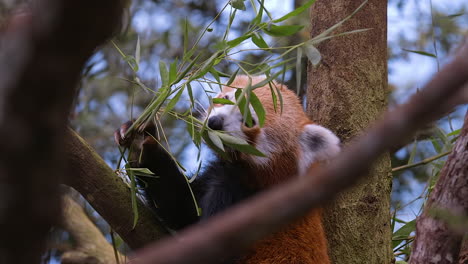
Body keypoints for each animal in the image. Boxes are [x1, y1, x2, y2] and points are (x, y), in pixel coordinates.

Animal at [114, 75, 340, 264]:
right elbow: (180, 205)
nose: (215, 122)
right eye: (226, 98)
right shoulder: (215, 175)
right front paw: (141, 141)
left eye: (249, 120)